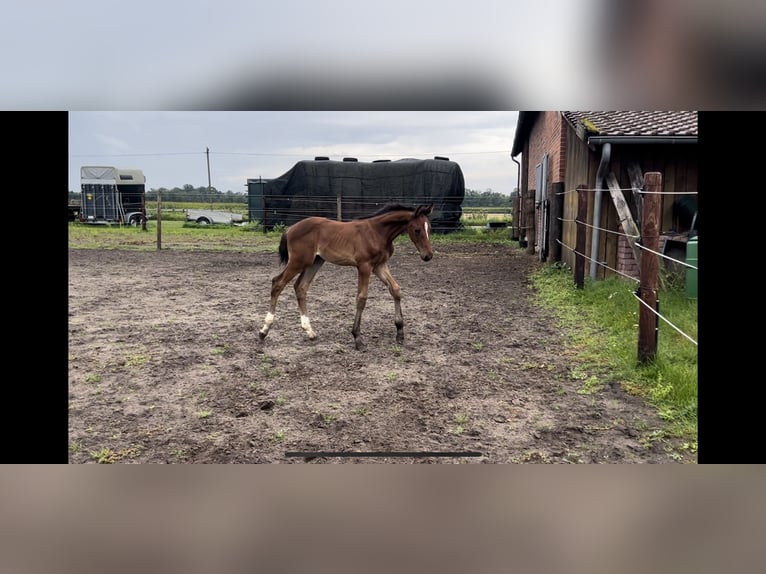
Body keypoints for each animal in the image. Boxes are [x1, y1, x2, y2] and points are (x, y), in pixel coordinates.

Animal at [258, 203, 434, 351]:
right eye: (417, 230)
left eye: (429, 228)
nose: (428, 256)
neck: (377, 232)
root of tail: (290, 229)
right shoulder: (364, 266)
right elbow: (361, 298)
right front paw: (357, 338)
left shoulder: (380, 265)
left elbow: (396, 290)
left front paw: (400, 333)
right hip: (299, 261)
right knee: (277, 283)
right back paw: (264, 331)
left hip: (315, 261)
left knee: (300, 287)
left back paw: (310, 332)